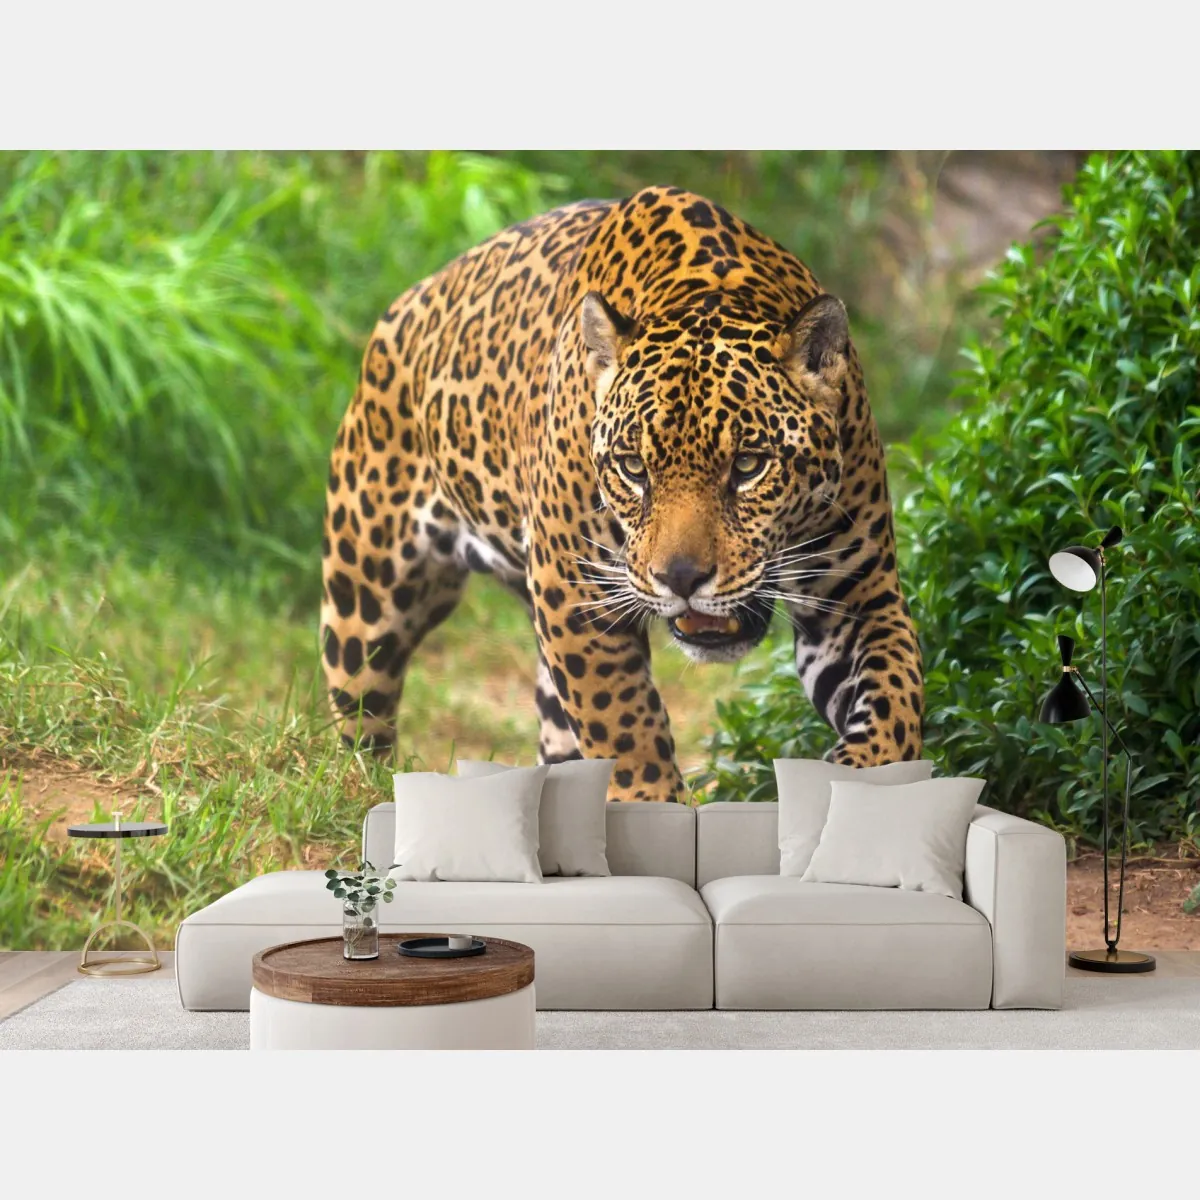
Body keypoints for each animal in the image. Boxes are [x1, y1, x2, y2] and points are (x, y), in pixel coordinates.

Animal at [320, 185, 924, 802]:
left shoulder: (857, 595)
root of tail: (409, 302)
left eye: (748, 465)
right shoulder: (576, 595)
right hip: (366, 599)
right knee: (360, 719)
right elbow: (624, 725)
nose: (681, 579)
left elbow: (895, 698)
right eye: (634, 468)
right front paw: (654, 801)